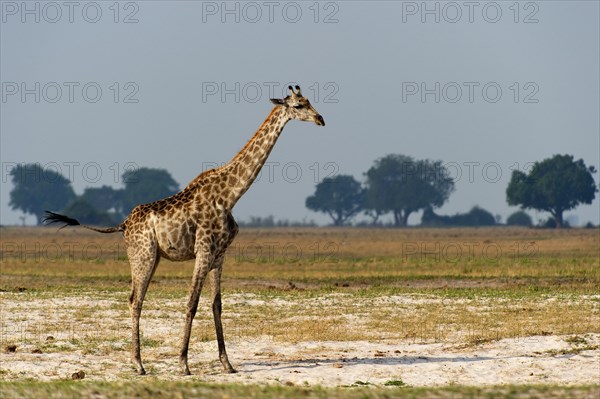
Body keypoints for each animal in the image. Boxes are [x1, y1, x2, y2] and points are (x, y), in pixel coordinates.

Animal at [44, 86, 326, 376]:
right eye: (298, 105)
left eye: (309, 101)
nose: (320, 119)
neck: (230, 196)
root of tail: (123, 224)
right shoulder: (203, 251)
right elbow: (192, 303)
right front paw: (183, 363)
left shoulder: (219, 255)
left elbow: (216, 305)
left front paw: (227, 364)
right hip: (142, 256)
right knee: (135, 300)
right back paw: (138, 364)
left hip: (154, 257)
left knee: (136, 298)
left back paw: (139, 362)